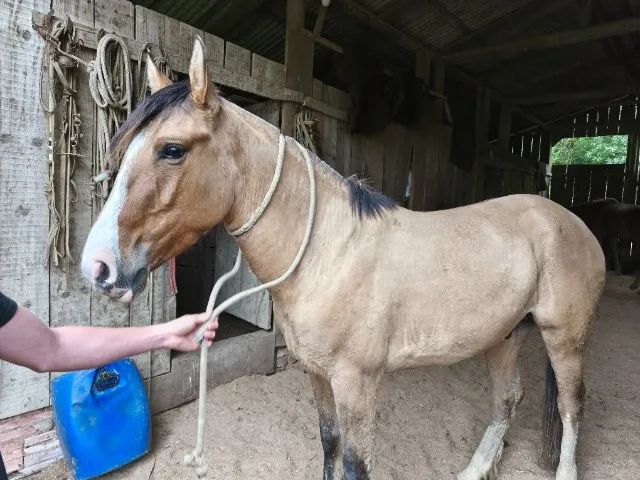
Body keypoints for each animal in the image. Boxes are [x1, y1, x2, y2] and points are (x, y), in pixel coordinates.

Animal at [81, 38, 605, 480]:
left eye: (172, 150)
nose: (97, 266)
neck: (328, 255)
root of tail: (570, 222)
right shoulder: (317, 374)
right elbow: (329, 443)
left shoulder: (357, 382)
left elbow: (355, 463)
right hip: (505, 335)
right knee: (507, 401)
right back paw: (474, 470)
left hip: (564, 338)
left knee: (572, 406)